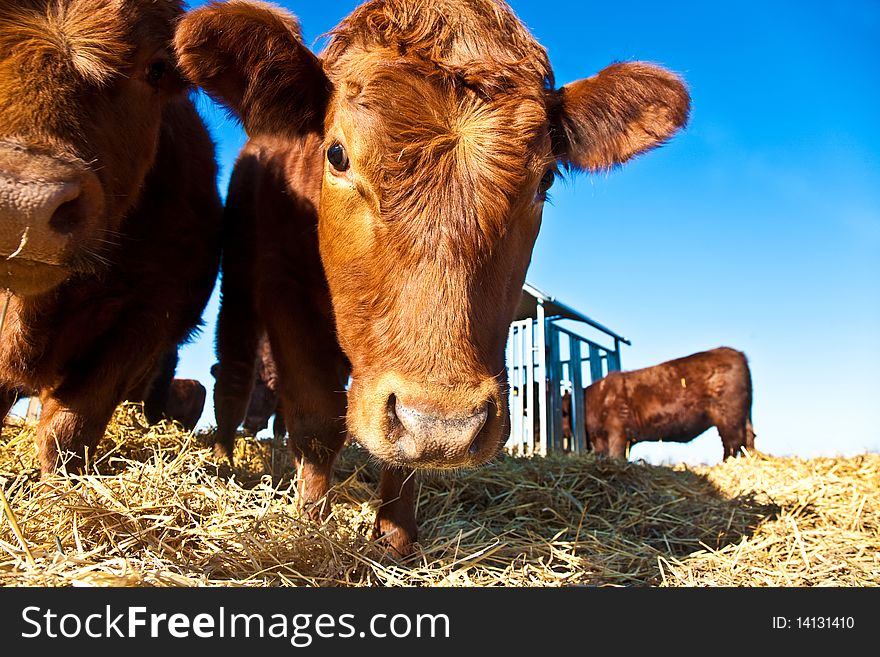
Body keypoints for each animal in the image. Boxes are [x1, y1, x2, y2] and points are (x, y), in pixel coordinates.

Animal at [175, 0, 692, 552]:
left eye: (545, 179)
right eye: (337, 155)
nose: (442, 426)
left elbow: (401, 459)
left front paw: (395, 538)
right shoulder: (285, 292)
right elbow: (315, 420)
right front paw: (309, 524)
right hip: (239, 287)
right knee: (233, 375)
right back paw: (223, 463)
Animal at [576, 346, 752, 458]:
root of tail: (737, 353)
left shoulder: (617, 431)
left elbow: (616, 456)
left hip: (729, 416)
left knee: (733, 442)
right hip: (743, 415)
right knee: (749, 438)